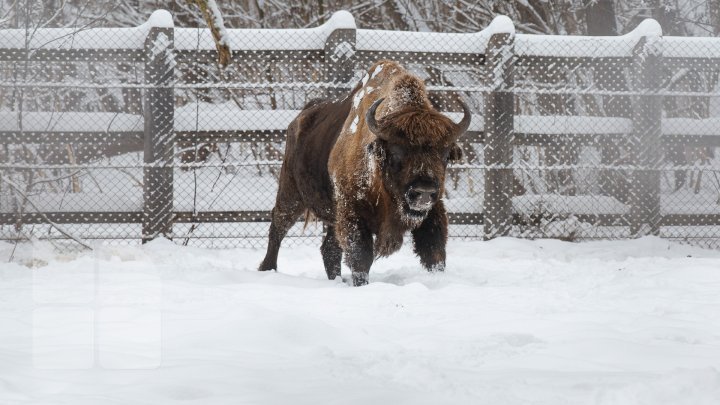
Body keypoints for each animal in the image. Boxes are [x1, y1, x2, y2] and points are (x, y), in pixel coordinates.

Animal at [258, 60, 472, 288]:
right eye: (396, 151)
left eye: (445, 153)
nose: (423, 191)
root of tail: (299, 118)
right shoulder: (353, 214)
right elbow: (361, 257)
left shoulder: (433, 212)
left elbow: (434, 253)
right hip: (291, 193)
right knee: (278, 227)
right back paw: (267, 269)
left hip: (332, 214)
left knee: (329, 249)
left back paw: (336, 280)